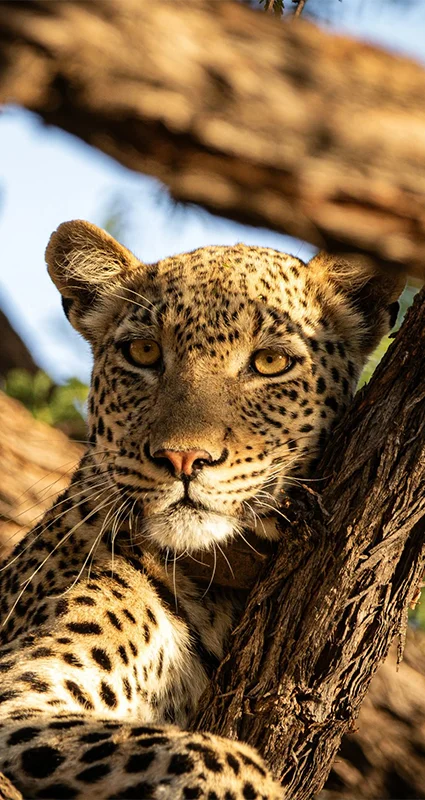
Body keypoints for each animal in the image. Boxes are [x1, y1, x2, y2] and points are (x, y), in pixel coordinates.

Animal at [0, 220, 403, 800]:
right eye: (144, 352)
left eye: (271, 362)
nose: (183, 458)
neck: (219, 581)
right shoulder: (22, 698)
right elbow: (215, 756)